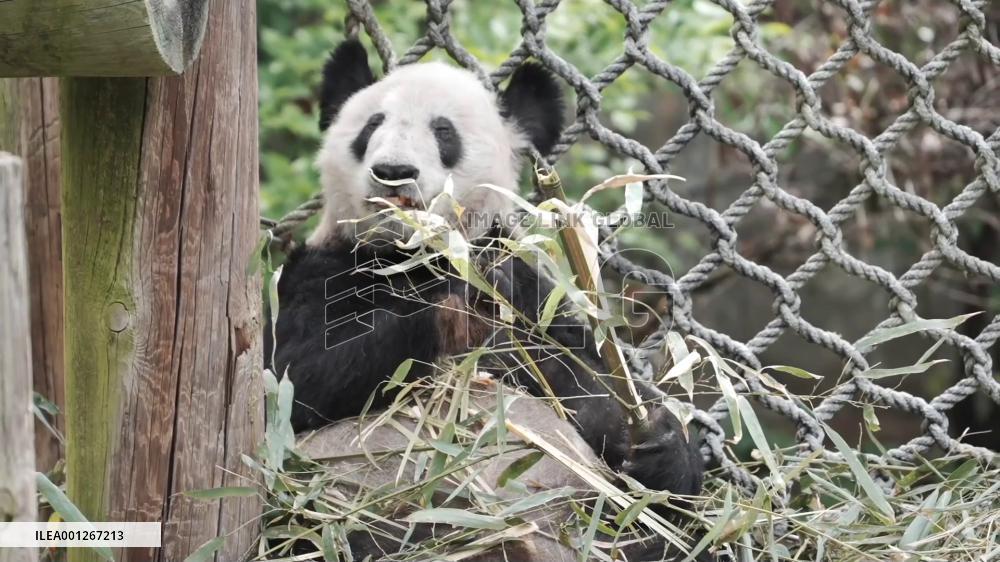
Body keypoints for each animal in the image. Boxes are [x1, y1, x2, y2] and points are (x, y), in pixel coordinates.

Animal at [269, 39, 710, 561]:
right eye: (371, 126)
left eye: (443, 132)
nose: (393, 173)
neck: (412, 257)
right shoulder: (319, 272)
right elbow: (296, 380)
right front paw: (458, 310)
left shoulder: (539, 297)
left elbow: (589, 384)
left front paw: (659, 444)